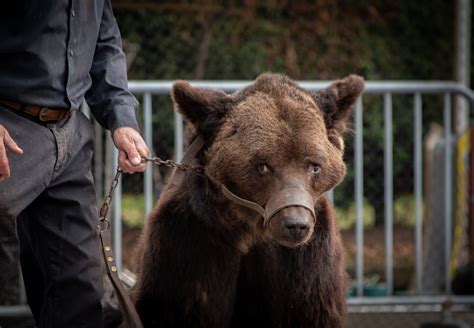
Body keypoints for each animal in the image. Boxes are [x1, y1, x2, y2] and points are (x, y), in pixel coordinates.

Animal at [131, 73, 364, 326]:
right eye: (263, 166)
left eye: (314, 166)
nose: (296, 224)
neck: (249, 231)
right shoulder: (189, 245)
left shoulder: (305, 262)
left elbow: (308, 308)